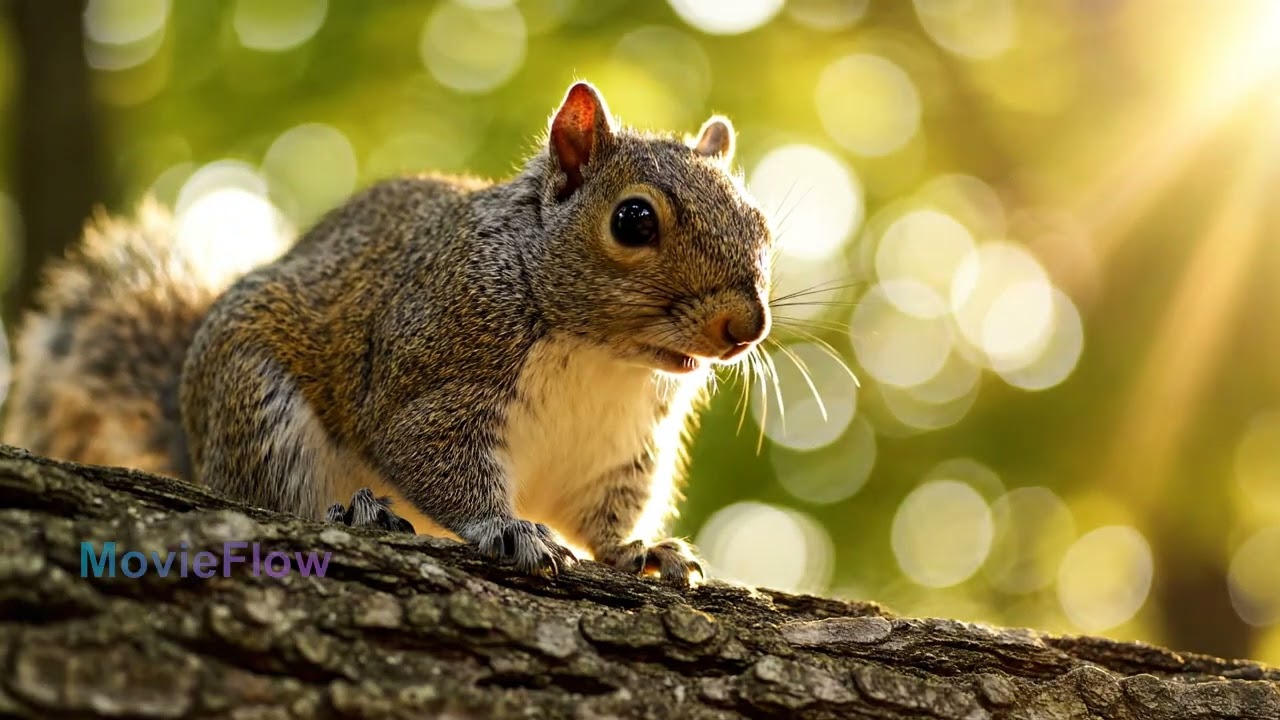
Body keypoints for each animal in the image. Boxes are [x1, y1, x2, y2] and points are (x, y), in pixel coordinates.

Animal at [2, 82, 774, 585]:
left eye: (762, 224)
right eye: (633, 220)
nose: (747, 326)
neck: (599, 354)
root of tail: (195, 438)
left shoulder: (620, 449)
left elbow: (605, 516)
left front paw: (638, 550)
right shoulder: (436, 366)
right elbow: (430, 456)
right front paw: (506, 528)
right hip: (256, 400)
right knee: (271, 495)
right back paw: (356, 512)